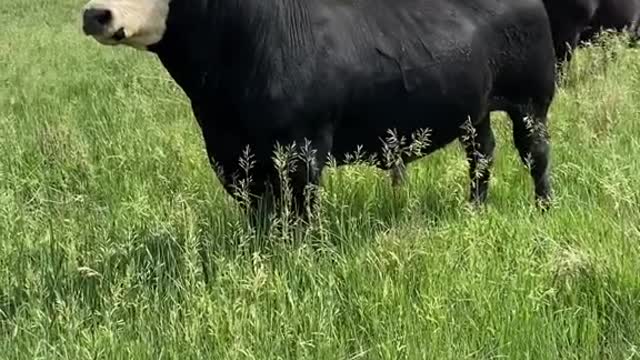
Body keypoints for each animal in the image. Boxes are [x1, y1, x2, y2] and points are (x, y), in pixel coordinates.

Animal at [82, 0, 556, 217]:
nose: (95, 14)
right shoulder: (229, 152)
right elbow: (260, 210)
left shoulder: (302, 145)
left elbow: (300, 207)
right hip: (474, 110)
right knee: (482, 153)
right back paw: (475, 206)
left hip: (531, 100)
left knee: (535, 154)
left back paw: (544, 207)